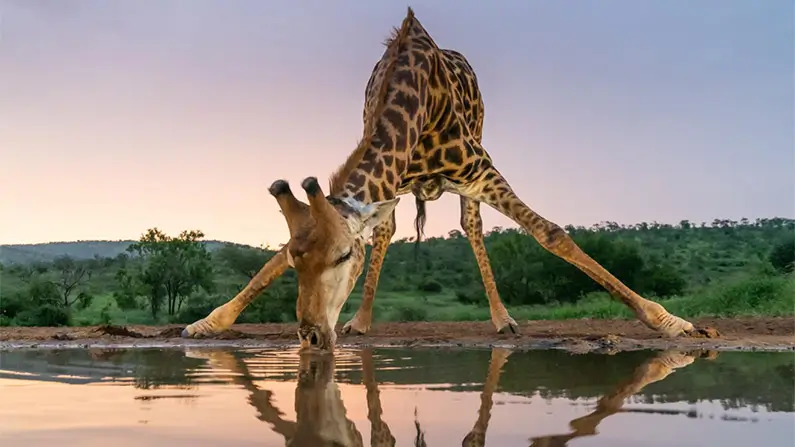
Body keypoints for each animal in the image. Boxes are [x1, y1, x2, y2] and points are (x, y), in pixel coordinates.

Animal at [182, 7, 715, 349]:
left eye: (342, 256)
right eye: (297, 262)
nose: (311, 335)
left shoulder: (481, 169)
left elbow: (551, 233)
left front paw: (673, 323)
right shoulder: (390, 185)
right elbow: (290, 255)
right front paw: (207, 323)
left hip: (474, 169)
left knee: (473, 228)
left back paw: (503, 321)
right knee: (389, 233)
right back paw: (361, 321)